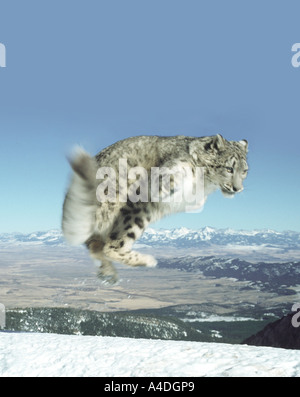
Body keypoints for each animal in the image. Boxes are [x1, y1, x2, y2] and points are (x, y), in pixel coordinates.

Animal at [61, 135, 248, 284]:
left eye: (245, 170)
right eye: (229, 168)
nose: (238, 188)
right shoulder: (176, 165)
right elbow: (170, 176)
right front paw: (165, 188)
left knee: (97, 246)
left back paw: (109, 273)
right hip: (135, 214)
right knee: (111, 247)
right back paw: (147, 260)